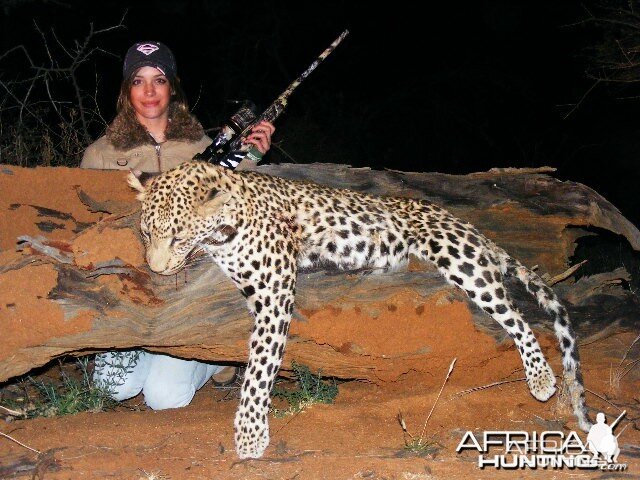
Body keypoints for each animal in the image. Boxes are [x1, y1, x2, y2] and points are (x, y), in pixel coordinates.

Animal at [127, 160, 592, 458]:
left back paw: (541, 378)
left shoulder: (275, 290)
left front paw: (250, 434)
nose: (155, 267)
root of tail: (460, 220)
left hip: (458, 255)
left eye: (178, 235)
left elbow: (259, 369)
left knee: (515, 313)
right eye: (146, 233)